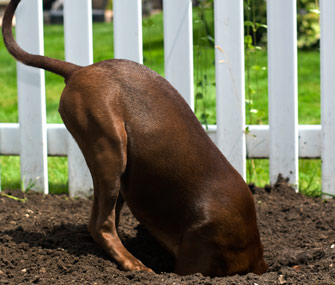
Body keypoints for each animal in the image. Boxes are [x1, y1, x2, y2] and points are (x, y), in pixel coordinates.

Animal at [2, 0, 270, 276]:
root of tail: (79, 70)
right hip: (110, 151)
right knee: (101, 225)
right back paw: (133, 263)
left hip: (116, 169)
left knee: (101, 222)